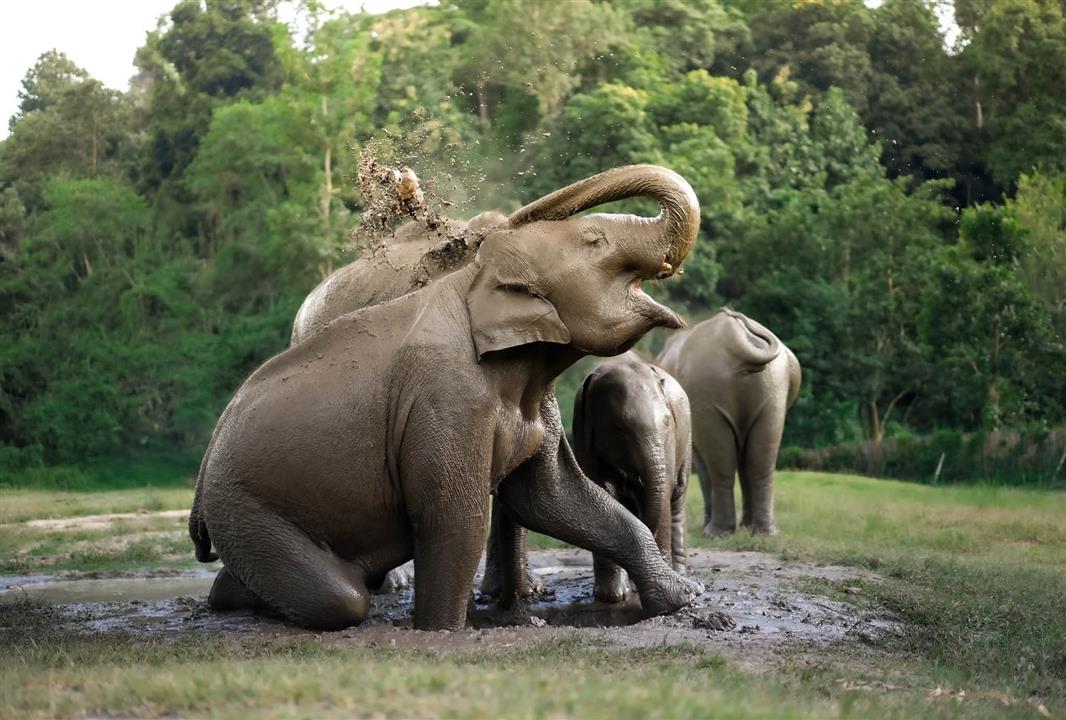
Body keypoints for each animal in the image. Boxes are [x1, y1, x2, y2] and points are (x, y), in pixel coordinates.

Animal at [572, 352, 691, 603]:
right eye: (619, 428)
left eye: (667, 421)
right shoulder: (581, 432)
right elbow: (600, 493)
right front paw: (611, 596)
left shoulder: (670, 439)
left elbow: (663, 495)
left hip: (686, 440)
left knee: (677, 497)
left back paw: (679, 573)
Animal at [657, 309, 801, 537]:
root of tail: (736, 336)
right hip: (774, 386)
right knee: (760, 458)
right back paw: (762, 533)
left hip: (706, 391)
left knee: (721, 461)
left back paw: (715, 532)